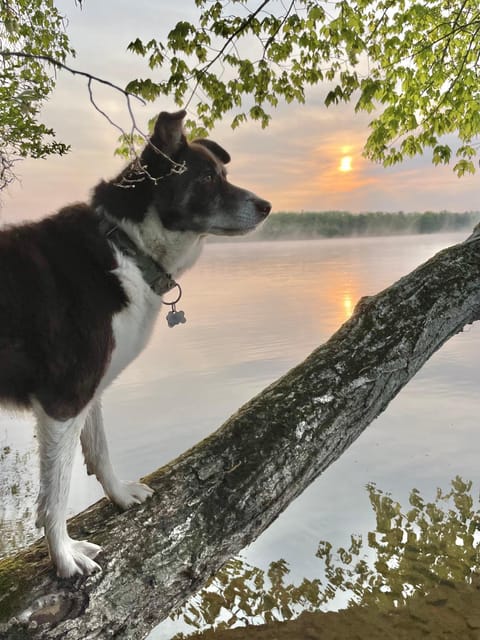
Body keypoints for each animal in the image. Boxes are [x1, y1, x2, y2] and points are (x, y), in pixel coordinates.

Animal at [0, 109, 270, 576]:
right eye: (207, 178)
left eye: (224, 174)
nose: (267, 206)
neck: (126, 246)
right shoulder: (65, 399)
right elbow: (56, 493)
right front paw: (64, 556)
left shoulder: (90, 390)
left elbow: (100, 452)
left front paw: (121, 497)